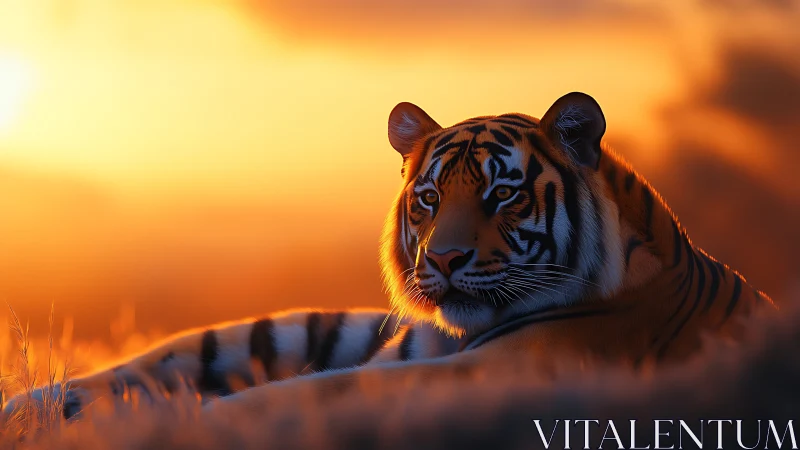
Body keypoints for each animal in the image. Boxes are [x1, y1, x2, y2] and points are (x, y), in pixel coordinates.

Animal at [3, 92, 774, 421]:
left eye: (503, 195)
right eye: (429, 198)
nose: (447, 260)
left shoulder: (504, 367)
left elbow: (307, 393)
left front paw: (182, 425)